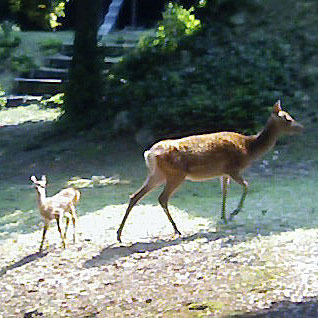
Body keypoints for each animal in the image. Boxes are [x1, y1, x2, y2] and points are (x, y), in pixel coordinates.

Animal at [117, 100, 304, 242]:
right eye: (287, 119)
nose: (301, 127)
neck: (249, 148)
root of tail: (149, 154)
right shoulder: (233, 168)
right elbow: (246, 186)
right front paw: (234, 213)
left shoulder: (223, 173)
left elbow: (224, 192)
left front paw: (224, 217)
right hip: (175, 175)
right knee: (162, 198)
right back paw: (176, 230)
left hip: (157, 174)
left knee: (135, 196)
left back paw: (119, 235)